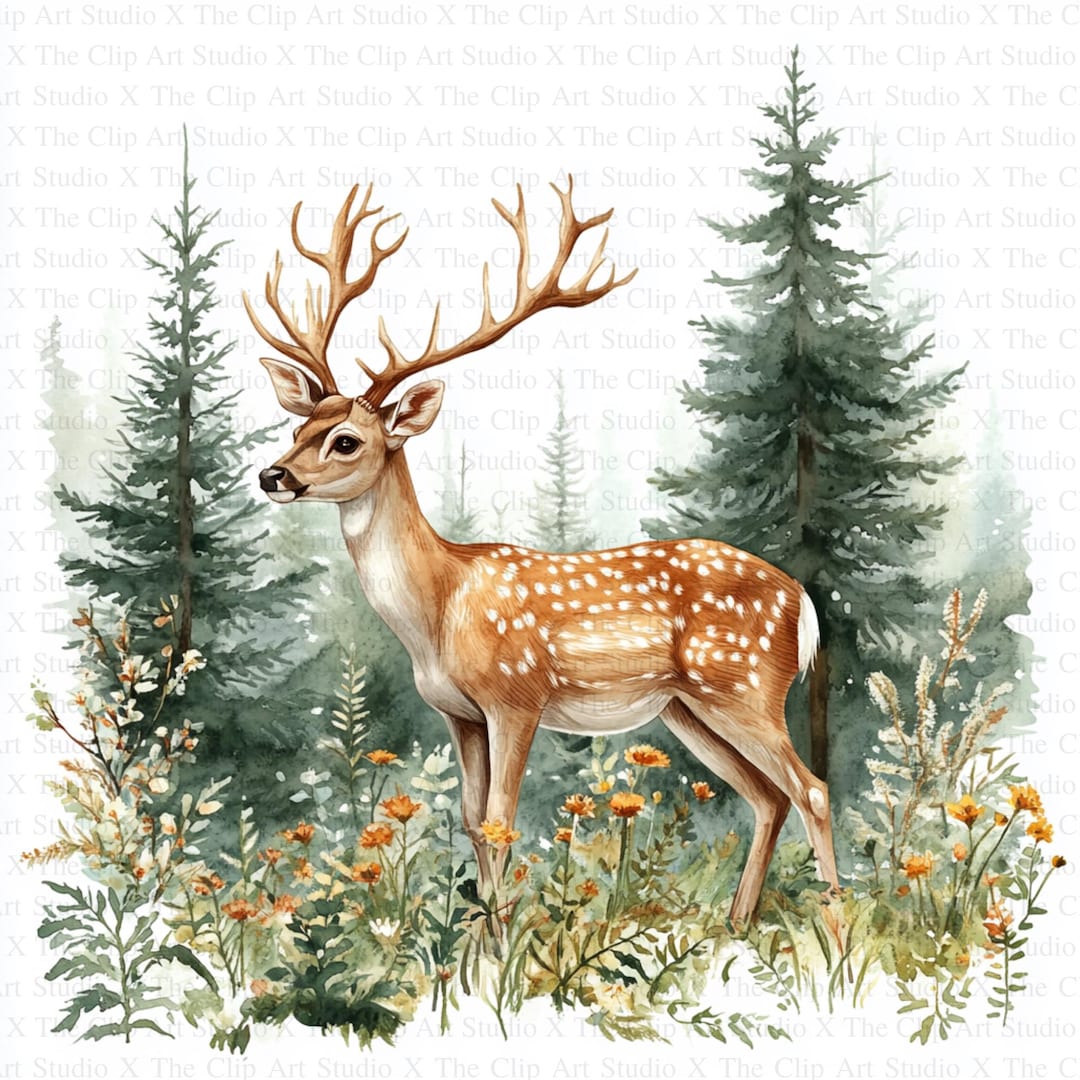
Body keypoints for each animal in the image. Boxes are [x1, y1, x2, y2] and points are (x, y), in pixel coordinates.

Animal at [244, 178, 840, 928]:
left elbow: (502, 818)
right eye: (298, 427)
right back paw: (735, 925)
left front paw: (501, 940)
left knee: (811, 788)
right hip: (687, 708)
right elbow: (474, 821)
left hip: (746, 685)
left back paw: (836, 924)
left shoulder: (515, 695)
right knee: (768, 796)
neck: (440, 605)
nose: (273, 475)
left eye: (345, 440)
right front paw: (484, 934)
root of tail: (803, 603)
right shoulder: (458, 713)